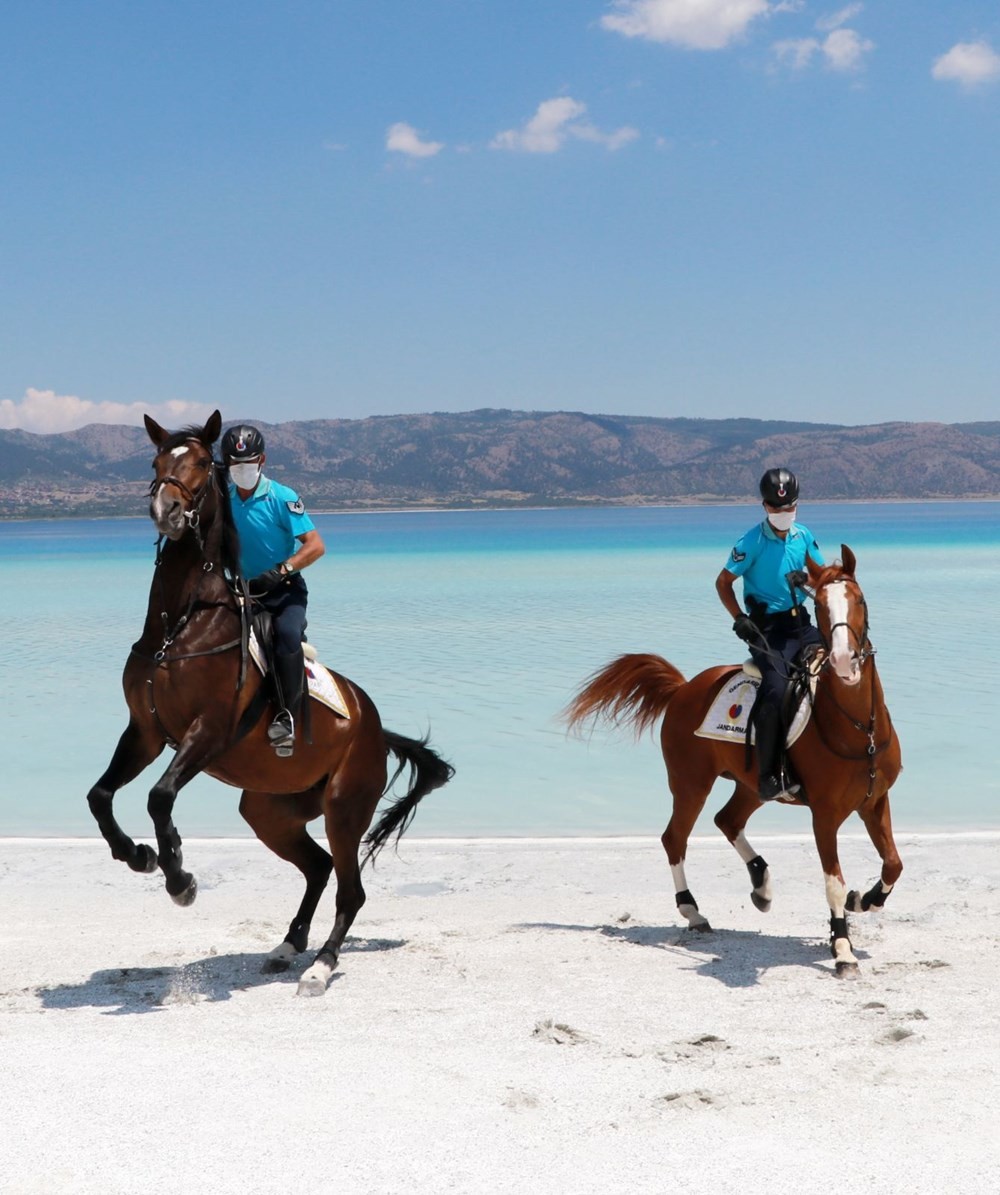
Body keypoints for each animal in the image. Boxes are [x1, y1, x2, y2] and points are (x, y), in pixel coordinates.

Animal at [86, 415, 451, 994]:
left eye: (201, 463)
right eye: (157, 462)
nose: (166, 510)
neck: (179, 626)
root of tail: (373, 724)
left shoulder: (208, 731)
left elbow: (159, 797)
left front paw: (180, 878)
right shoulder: (144, 731)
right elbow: (100, 796)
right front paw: (138, 856)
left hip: (343, 806)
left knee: (350, 888)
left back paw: (321, 966)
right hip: (270, 810)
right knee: (319, 867)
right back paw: (287, 946)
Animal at [566, 547, 903, 975]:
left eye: (859, 600)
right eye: (820, 607)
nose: (844, 660)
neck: (859, 730)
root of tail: (683, 688)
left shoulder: (875, 801)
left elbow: (892, 864)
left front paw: (863, 900)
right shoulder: (824, 815)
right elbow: (833, 882)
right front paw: (842, 949)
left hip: (753, 786)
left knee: (727, 820)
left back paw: (762, 886)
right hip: (690, 784)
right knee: (675, 837)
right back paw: (693, 911)